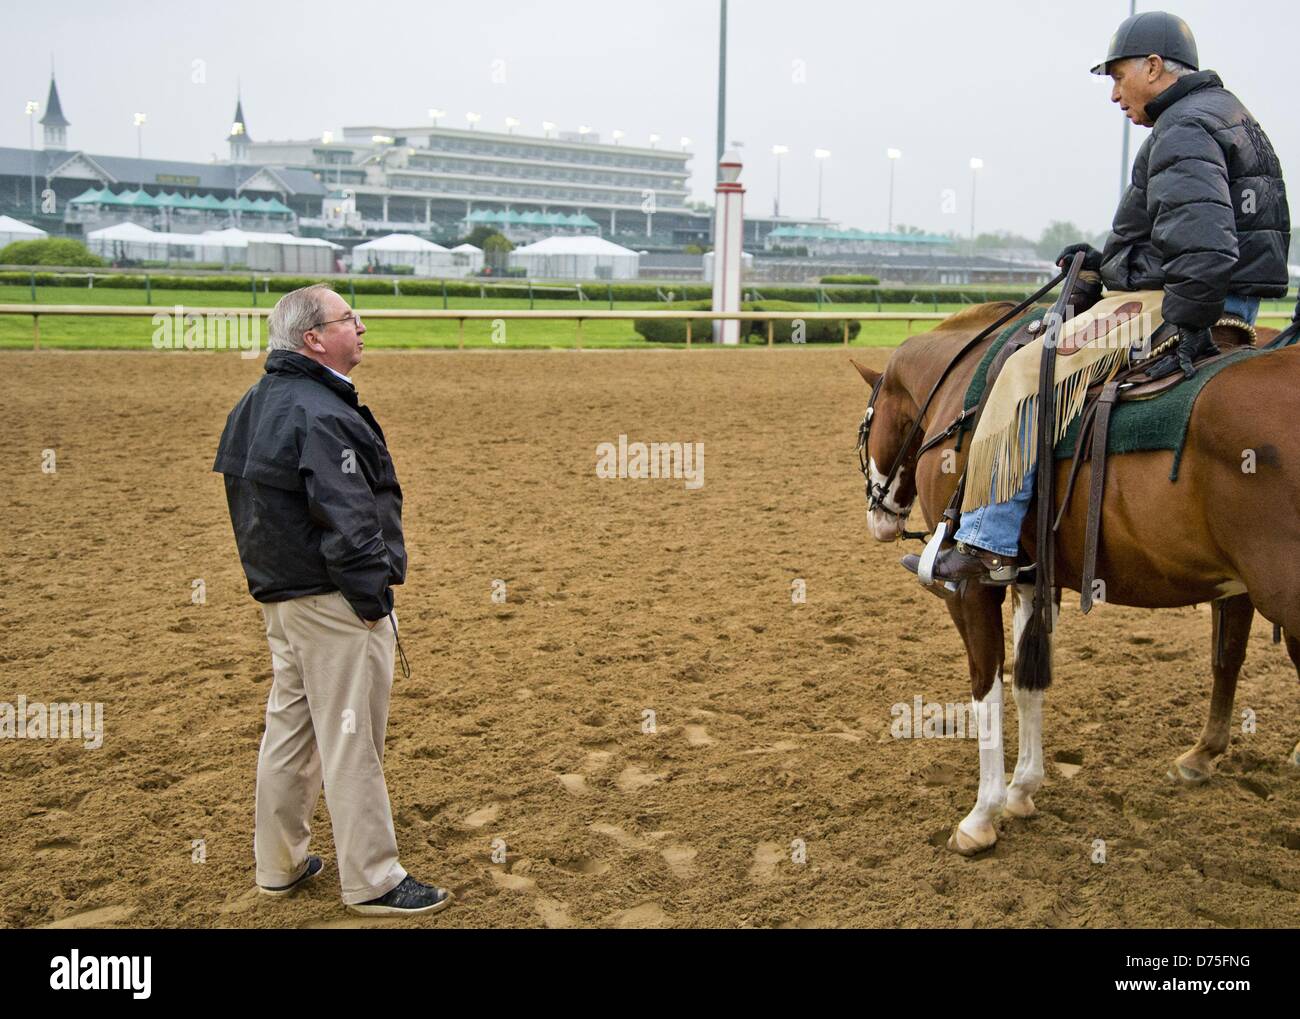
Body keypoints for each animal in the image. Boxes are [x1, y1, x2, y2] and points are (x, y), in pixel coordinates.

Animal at [847, 306, 1300, 857]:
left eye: (866, 427)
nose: (878, 516)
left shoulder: (971, 589)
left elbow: (987, 689)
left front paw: (982, 816)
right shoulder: (1030, 579)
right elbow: (1028, 683)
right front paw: (1022, 790)